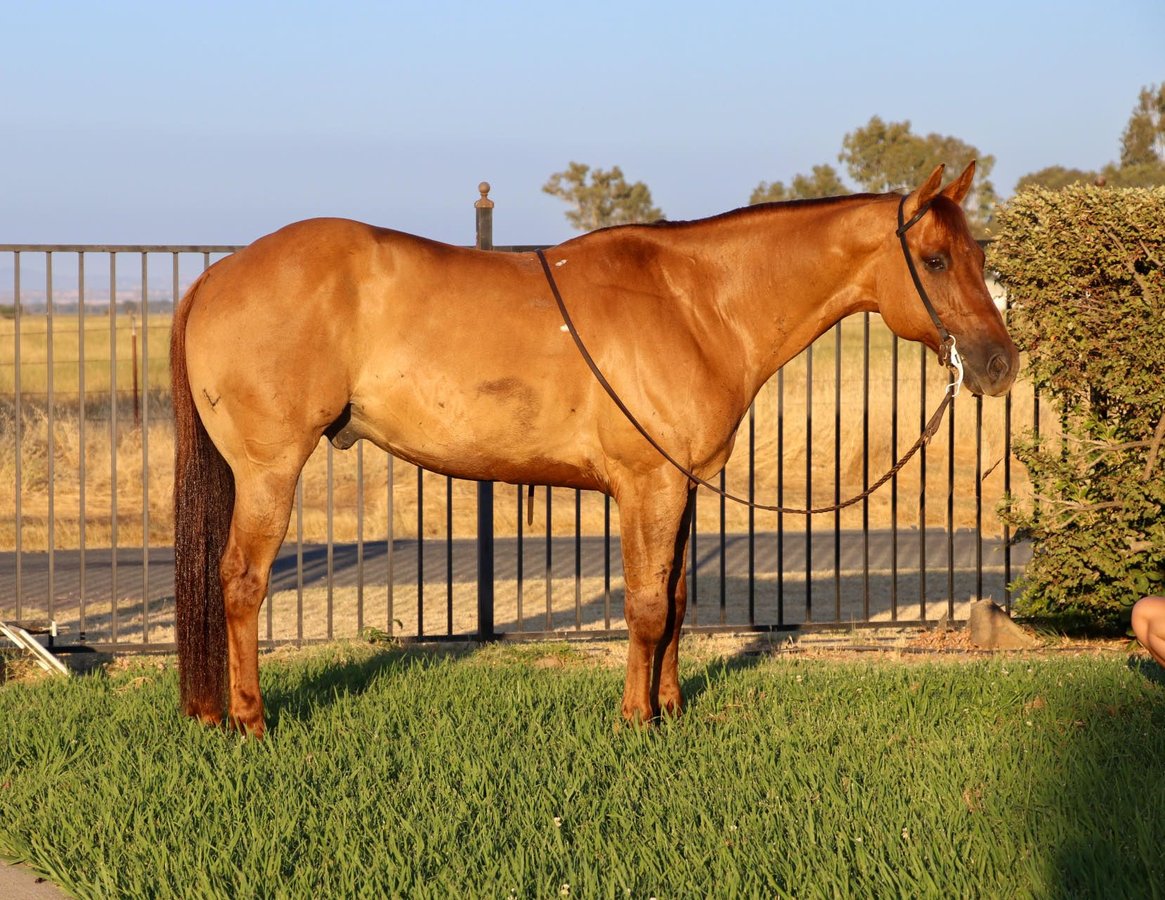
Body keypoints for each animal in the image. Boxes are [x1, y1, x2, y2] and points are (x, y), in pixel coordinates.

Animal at [171, 161, 1017, 736]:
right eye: (934, 260)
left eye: (979, 257)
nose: (998, 364)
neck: (695, 304)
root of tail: (219, 273)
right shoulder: (647, 486)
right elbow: (644, 606)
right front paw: (634, 718)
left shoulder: (682, 487)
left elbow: (676, 600)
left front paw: (669, 707)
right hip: (270, 470)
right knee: (241, 583)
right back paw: (249, 720)